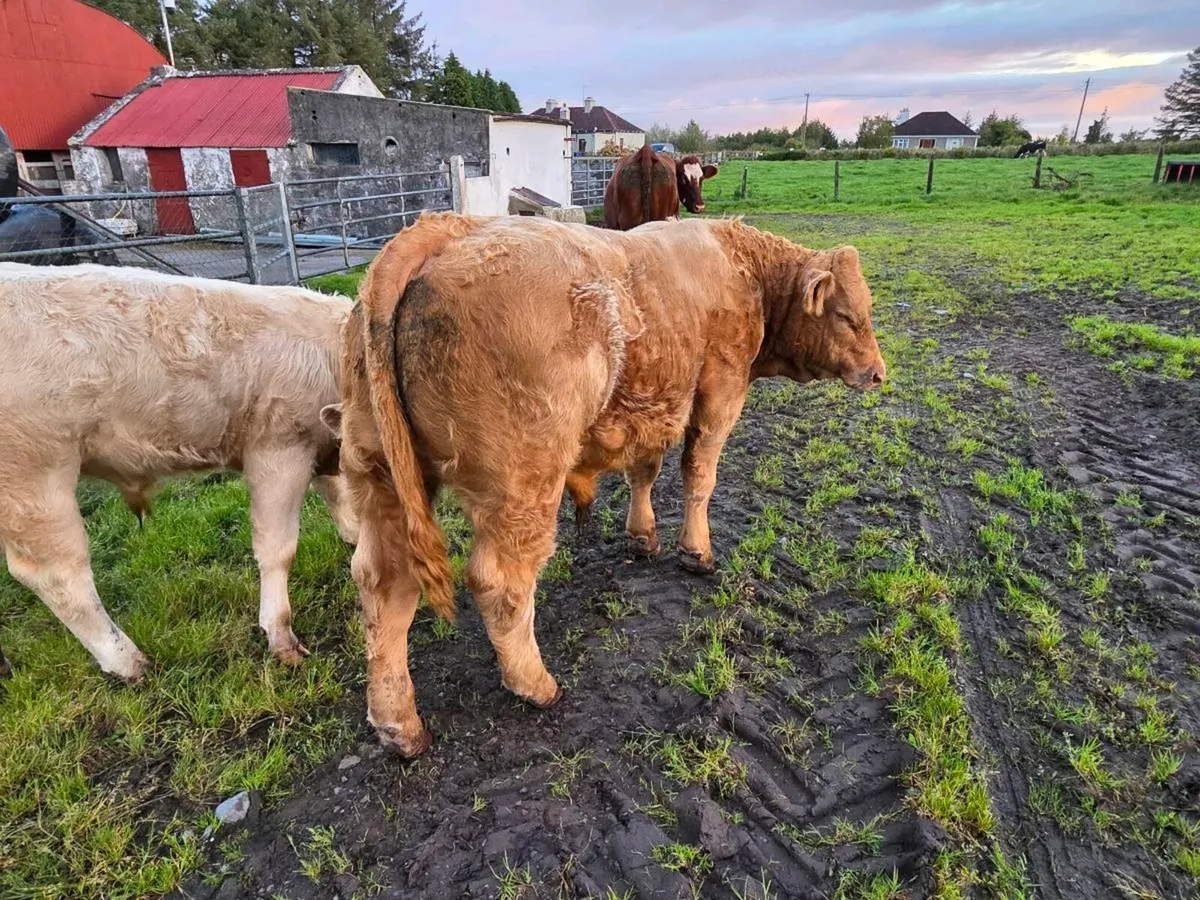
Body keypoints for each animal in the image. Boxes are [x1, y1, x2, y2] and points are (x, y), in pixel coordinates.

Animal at [0, 263, 359, 683]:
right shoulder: (278, 449)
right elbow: (278, 548)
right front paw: (281, 636)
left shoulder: (319, 445)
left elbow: (338, 496)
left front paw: (356, 537)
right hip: (34, 474)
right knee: (57, 575)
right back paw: (129, 661)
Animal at [324, 211, 885, 756]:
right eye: (848, 316)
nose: (879, 372)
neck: (739, 267)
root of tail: (446, 229)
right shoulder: (720, 394)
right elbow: (699, 475)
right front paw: (696, 551)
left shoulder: (655, 405)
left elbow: (645, 473)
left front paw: (642, 537)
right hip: (523, 481)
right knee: (499, 581)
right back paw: (535, 684)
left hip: (378, 475)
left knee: (384, 584)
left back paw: (399, 725)